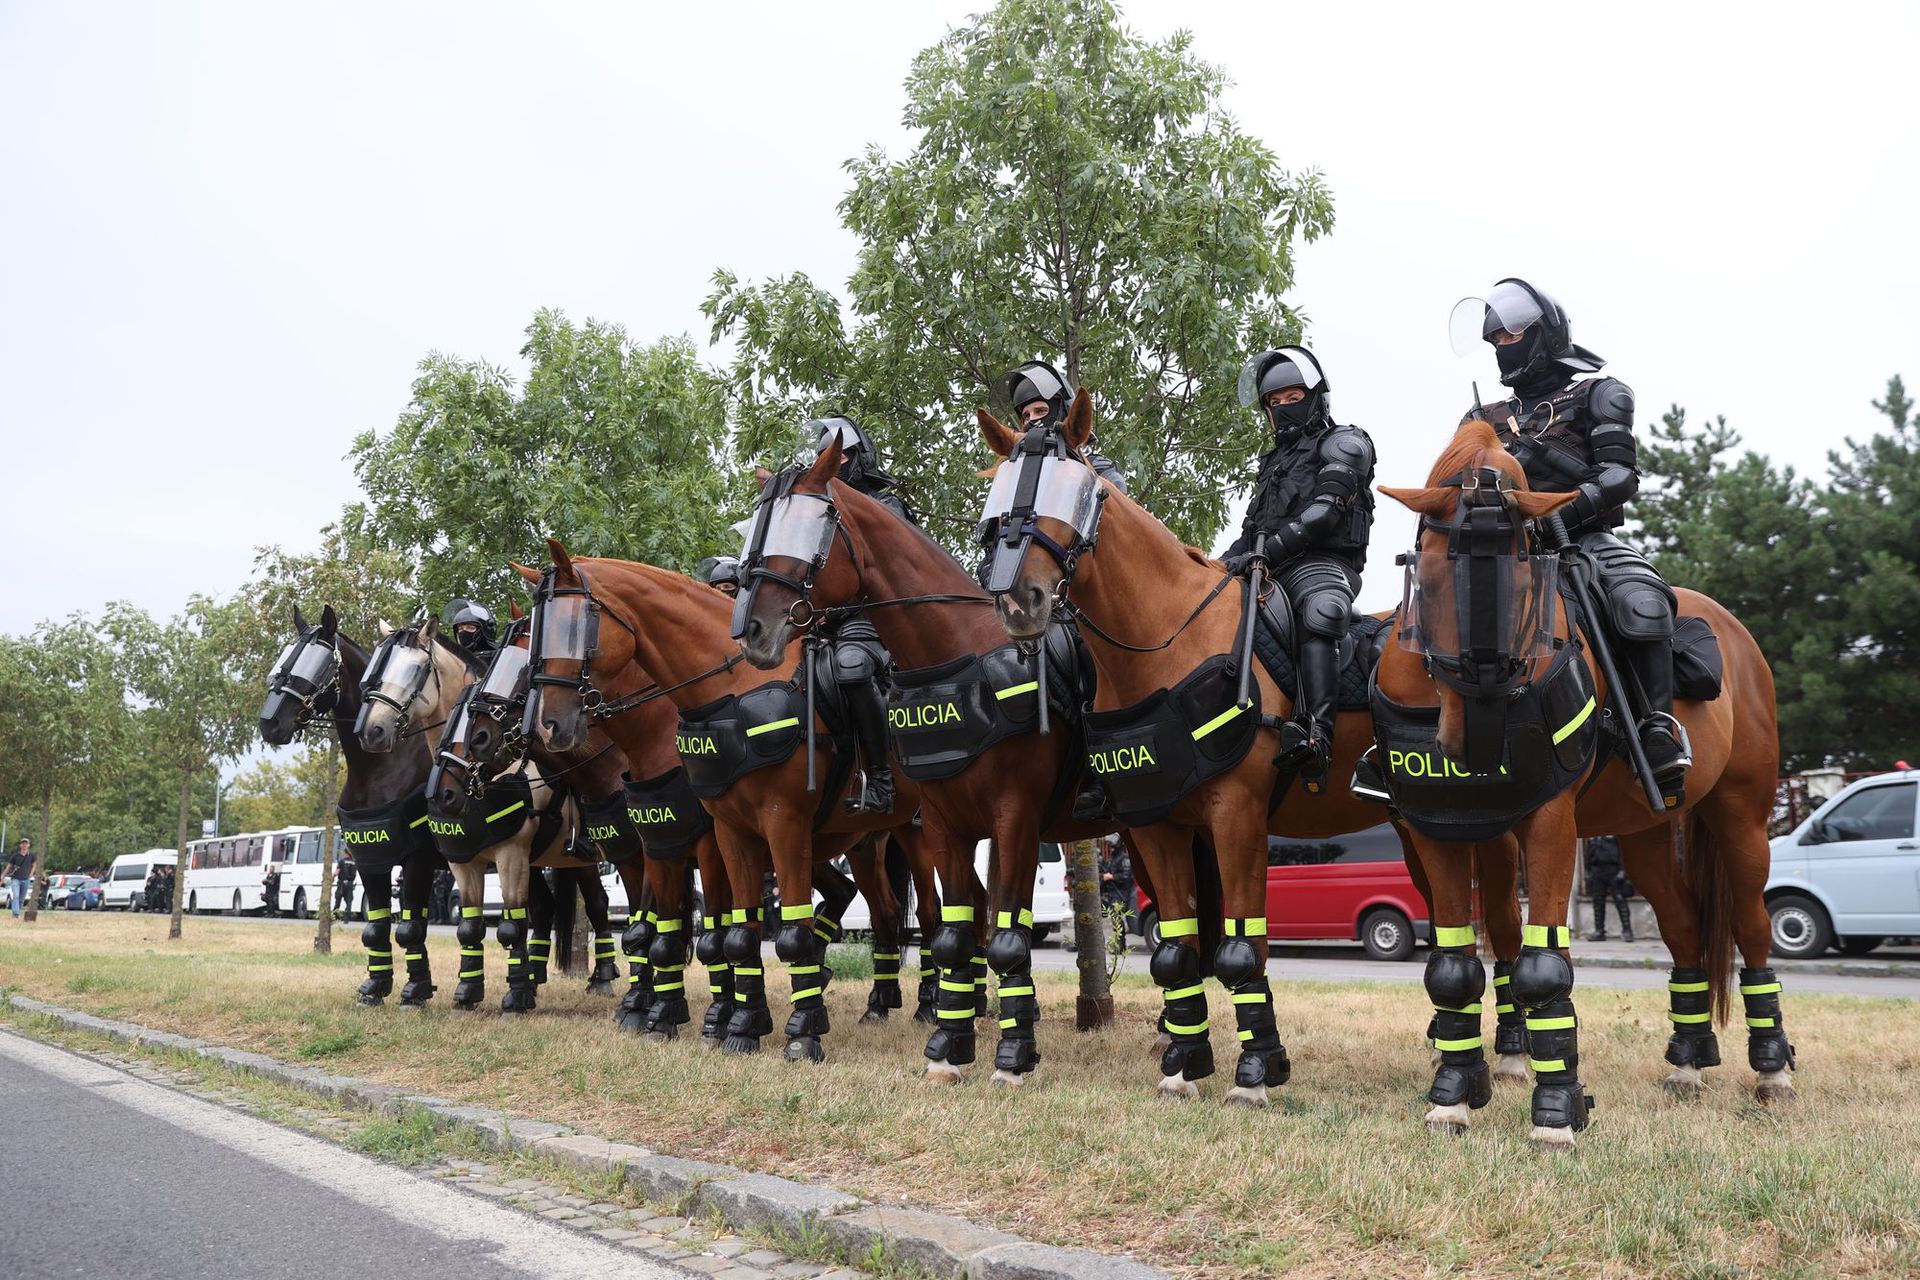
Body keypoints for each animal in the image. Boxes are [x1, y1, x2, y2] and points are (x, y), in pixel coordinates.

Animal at [259, 606, 445, 1005]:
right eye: (283, 660)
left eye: (314, 666)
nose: (269, 723)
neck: (381, 763)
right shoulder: (370, 857)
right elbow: (377, 927)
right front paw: (376, 986)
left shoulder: (418, 859)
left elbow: (410, 926)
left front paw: (416, 989)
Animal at [522, 541, 940, 1059]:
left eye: (576, 625)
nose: (548, 724)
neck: (727, 694)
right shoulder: (686, 840)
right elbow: (693, 936)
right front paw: (712, 1021)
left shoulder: (767, 830)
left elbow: (737, 936)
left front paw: (782, 1029)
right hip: (863, 843)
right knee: (880, 912)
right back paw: (877, 1006)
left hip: (921, 834)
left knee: (932, 915)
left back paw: (934, 1007)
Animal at [733, 443, 1121, 1090]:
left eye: (809, 528)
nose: (753, 633)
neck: (961, 654)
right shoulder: (944, 826)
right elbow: (956, 933)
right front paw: (951, 1044)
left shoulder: (1014, 819)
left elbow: (1004, 935)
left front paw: (1012, 1056)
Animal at [975, 395, 1512, 1105]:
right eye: (997, 490)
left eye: (1081, 491)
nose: (1018, 599)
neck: (1167, 639)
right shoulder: (1158, 824)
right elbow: (1175, 950)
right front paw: (1185, 1064)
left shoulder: (1236, 817)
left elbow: (1240, 950)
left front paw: (1258, 1069)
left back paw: (1514, 1054)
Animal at [1374, 422, 1789, 1151]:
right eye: (1435, 573)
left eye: (1524, 574)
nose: (1474, 728)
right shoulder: (1438, 829)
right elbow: (1454, 967)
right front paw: (1454, 1096)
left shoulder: (1547, 823)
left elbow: (1541, 966)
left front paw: (1556, 1111)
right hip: (1646, 837)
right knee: (1683, 928)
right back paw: (1687, 1063)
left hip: (1741, 818)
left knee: (1752, 927)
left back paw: (1772, 1069)